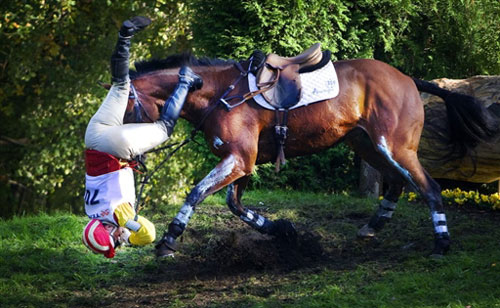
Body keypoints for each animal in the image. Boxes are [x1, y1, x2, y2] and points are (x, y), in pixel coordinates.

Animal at [123, 51, 498, 258]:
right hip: (366, 144)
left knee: (429, 188)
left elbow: (198, 192)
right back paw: (372, 226)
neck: (218, 93)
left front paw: (169, 239)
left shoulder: (239, 159)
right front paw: (281, 229)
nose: (129, 155)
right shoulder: (242, 161)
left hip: (394, 146)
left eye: (125, 108)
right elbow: (236, 204)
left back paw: (441, 244)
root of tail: (408, 78)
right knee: (395, 183)